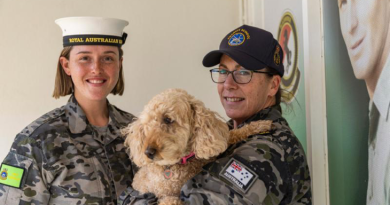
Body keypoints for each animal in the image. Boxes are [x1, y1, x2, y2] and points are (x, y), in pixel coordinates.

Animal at [122, 88, 272, 205]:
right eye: (145, 126)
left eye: (168, 119)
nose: (148, 152)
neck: (182, 161)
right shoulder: (164, 195)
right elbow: (171, 200)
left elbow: (231, 134)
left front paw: (260, 125)